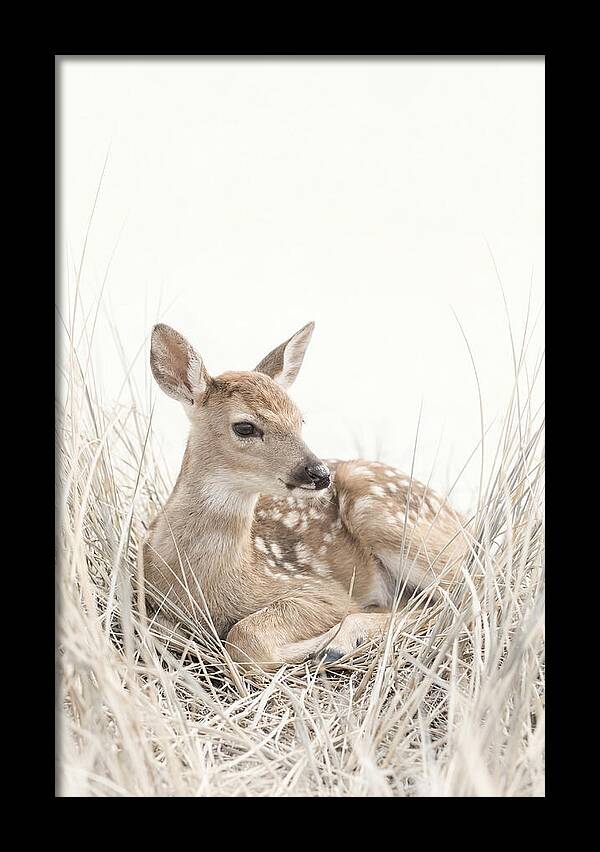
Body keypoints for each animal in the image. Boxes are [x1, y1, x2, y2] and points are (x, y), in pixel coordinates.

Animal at [142, 321, 469, 670]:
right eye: (244, 427)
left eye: (300, 420)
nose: (319, 473)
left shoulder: (320, 590)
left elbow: (246, 638)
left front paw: (319, 644)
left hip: (384, 516)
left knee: (461, 594)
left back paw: (339, 643)